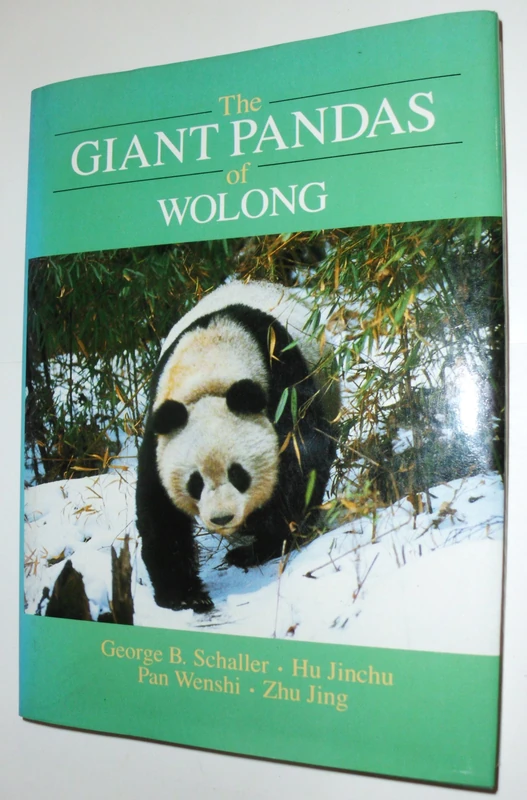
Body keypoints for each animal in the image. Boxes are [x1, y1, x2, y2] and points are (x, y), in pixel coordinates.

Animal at [136, 280, 340, 612]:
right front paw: (184, 595)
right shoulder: (161, 429)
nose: (222, 518)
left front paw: (261, 545)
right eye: (195, 482)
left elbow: (302, 457)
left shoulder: (282, 377)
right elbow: (159, 510)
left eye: (238, 474)